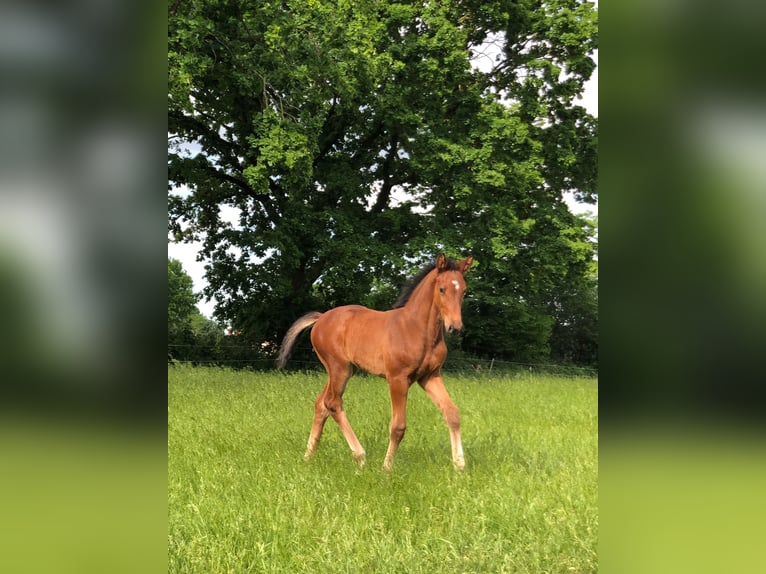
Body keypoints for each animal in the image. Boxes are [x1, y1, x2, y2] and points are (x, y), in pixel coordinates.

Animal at [280, 255, 476, 472]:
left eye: (464, 290)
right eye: (442, 289)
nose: (455, 328)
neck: (416, 329)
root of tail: (321, 317)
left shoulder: (430, 376)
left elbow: (452, 413)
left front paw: (460, 466)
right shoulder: (397, 378)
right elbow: (398, 426)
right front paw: (386, 468)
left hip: (344, 370)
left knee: (321, 404)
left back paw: (308, 455)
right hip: (339, 368)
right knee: (332, 403)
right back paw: (360, 456)